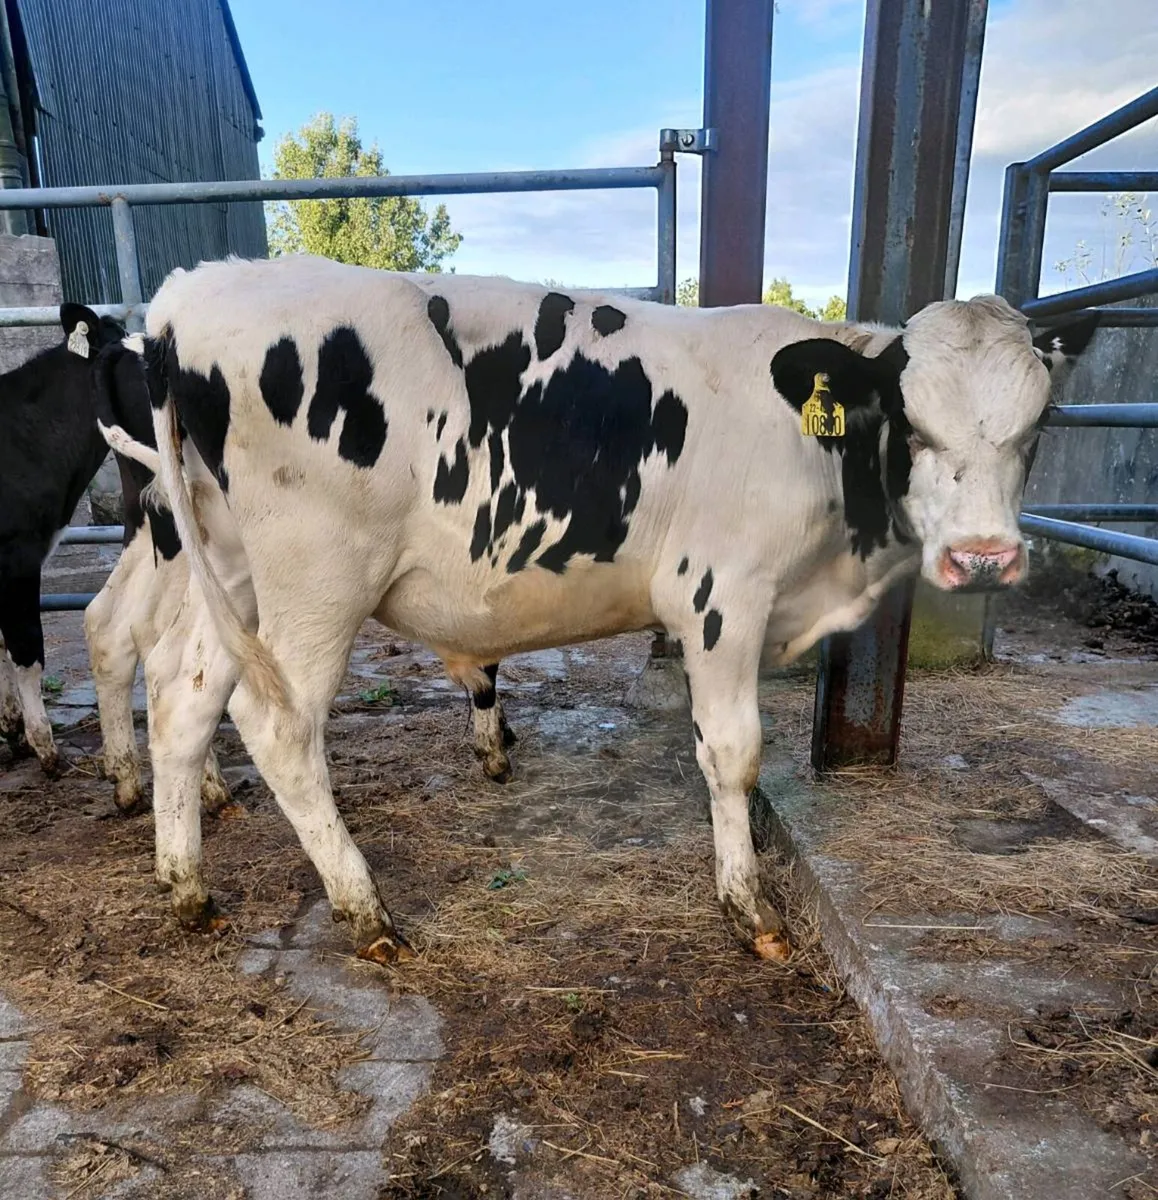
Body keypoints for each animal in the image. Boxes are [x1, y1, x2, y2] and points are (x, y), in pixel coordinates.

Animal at [120, 255, 1095, 965]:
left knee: (181, 695)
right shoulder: (721, 595)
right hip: (317, 579)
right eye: (909, 420)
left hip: (230, 571)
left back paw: (186, 887)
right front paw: (749, 907)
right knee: (277, 726)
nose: (984, 557)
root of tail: (188, 295)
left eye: (1036, 428)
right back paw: (366, 913)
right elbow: (733, 755)